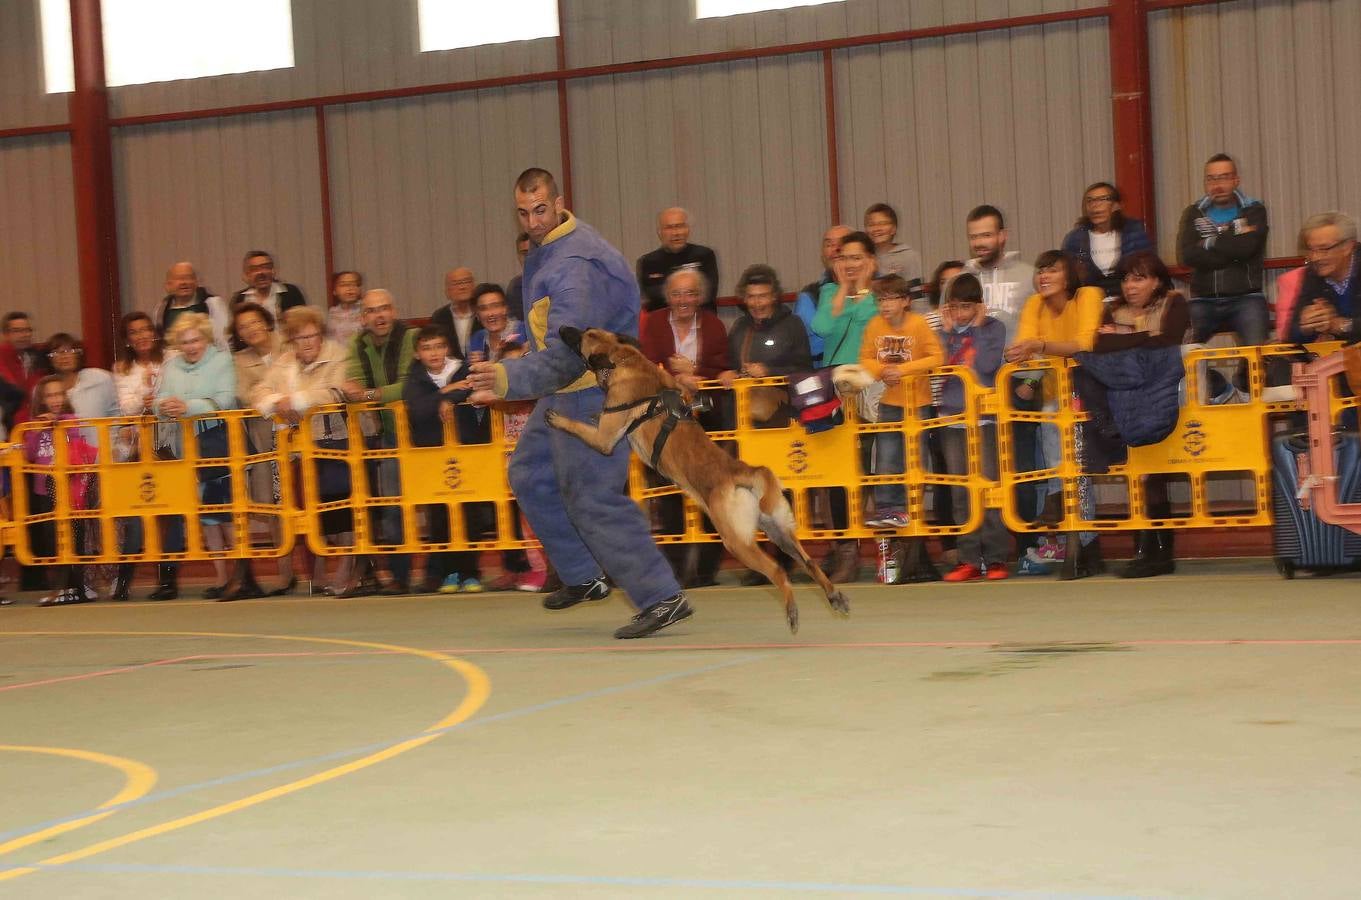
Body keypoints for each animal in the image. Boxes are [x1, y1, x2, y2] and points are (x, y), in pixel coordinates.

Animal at [544, 324, 849, 631]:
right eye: (586, 330)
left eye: (581, 336)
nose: (562, 327)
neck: (623, 358)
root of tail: (745, 472)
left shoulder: (604, 439)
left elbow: (579, 427)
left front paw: (558, 419)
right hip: (779, 531)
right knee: (809, 562)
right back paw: (834, 596)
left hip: (736, 542)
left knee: (777, 571)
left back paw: (792, 611)